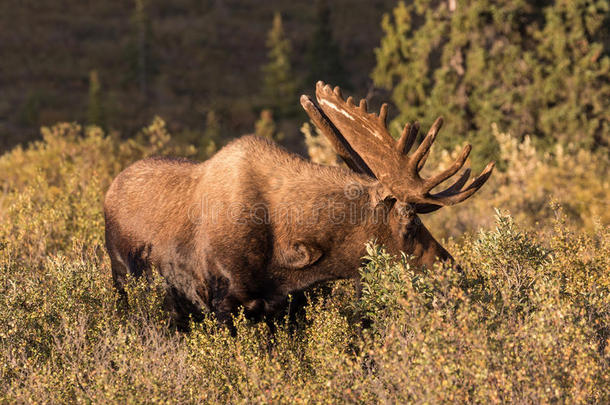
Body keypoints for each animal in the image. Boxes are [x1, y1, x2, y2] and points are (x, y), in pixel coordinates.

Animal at [103, 81, 494, 326]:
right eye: (410, 222)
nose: (455, 273)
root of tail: (109, 190)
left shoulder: (289, 307)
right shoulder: (224, 304)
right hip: (125, 282)